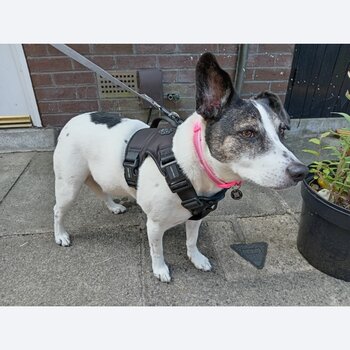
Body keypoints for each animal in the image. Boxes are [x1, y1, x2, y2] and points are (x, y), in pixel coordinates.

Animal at [52, 52, 306, 282]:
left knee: (102, 191)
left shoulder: (197, 216)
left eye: (282, 130)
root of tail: (73, 120)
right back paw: (61, 235)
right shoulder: (154, 225)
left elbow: (191, 241)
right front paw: (160, 270)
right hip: (68, 186)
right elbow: (157, 250)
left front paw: (196, 258)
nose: (301, 172)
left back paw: (114, 206)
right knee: (58, 210)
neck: (192, 165)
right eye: (248, 133)